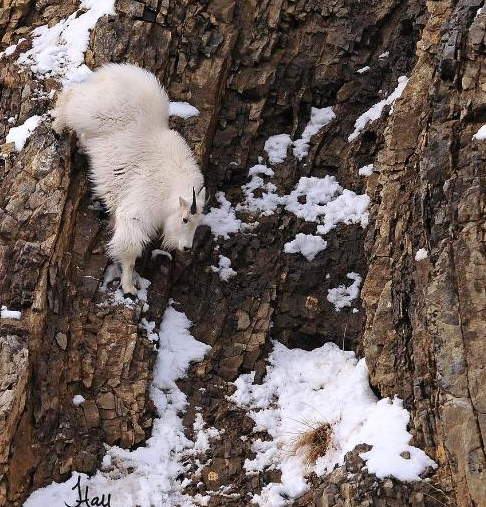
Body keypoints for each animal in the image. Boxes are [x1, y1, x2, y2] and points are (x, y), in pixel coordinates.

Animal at [52, 65, 205, 298]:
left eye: (198, 222)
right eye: (185, 219)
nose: (186, 248)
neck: (169, 190)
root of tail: (114, 72)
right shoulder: (137, 211)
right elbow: (130, 249)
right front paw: (129, 286)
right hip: (94, 111)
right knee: (72, 96)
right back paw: (57, 126)